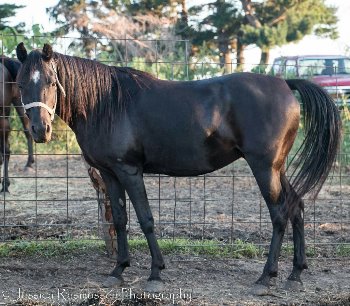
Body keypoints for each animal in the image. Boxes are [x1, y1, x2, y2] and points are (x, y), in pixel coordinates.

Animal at [15, 43, 340, 292]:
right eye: (20, 83)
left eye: (51, 82)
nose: (40, 130)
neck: (106, 103)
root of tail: (285, 83)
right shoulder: (110, 174)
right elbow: (119, 220)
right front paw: (118, 270)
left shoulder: (130, 171)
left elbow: (145, 219)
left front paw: (155, 273)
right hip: (277, 168)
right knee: (296, 207)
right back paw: (295, 275)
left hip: (264, 168)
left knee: (280, 214)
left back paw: (265, 277)